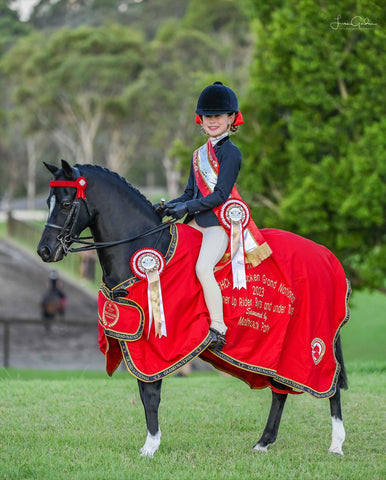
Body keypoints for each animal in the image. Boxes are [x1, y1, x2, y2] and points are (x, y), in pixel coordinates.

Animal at [37, 161, 348, 458]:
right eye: (48, 202)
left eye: (65, 204)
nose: (45, 251)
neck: (149, 250)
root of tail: (326, 256)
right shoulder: (138, 342)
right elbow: (144, 392)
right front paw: (151, 444)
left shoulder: (158, 344)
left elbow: (150, 393)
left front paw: (150, 447)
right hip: (277, 348)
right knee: (279, 390)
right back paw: (263, 443)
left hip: (312, 344)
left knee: (329, 386)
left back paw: (336, 444)